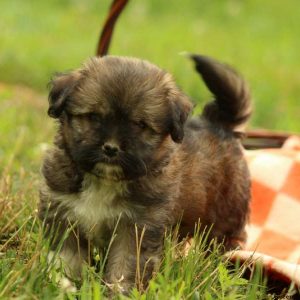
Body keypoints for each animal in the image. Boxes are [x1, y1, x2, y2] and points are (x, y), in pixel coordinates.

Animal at [39, 54, 251, 292]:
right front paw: (63, 285)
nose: (111, 148)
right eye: (93, 116)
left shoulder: (137, 227)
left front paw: (118, 292)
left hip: (224, 218)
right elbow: (66, 257)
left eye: (140, 124)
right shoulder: (63, 213)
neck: (105, 181)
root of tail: (219, 125)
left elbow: (125, 266)